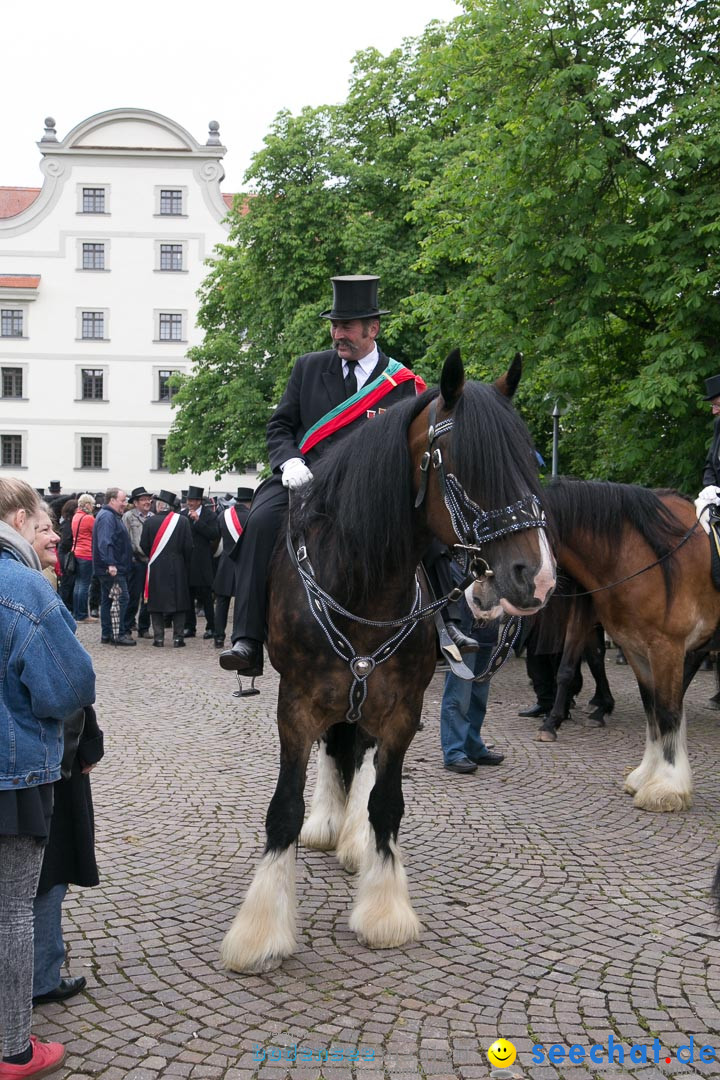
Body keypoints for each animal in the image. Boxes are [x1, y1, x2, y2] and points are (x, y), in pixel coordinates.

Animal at [220, 349, 557, 976]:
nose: (539, 577)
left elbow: (386, 803)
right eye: (464, 463)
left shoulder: (402, 709)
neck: (363, 583)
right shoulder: (295, 706)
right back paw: (327, 825)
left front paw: (383, 910)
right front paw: (261, 932)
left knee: (356, 752)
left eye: (530, 459)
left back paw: (347, 836)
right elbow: (282, 810)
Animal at [533, 479, 716, 812]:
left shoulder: (666, 646)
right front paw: (646, 775)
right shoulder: (636, 647)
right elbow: (652, 708)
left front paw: (668, 787)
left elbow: (667, 711)